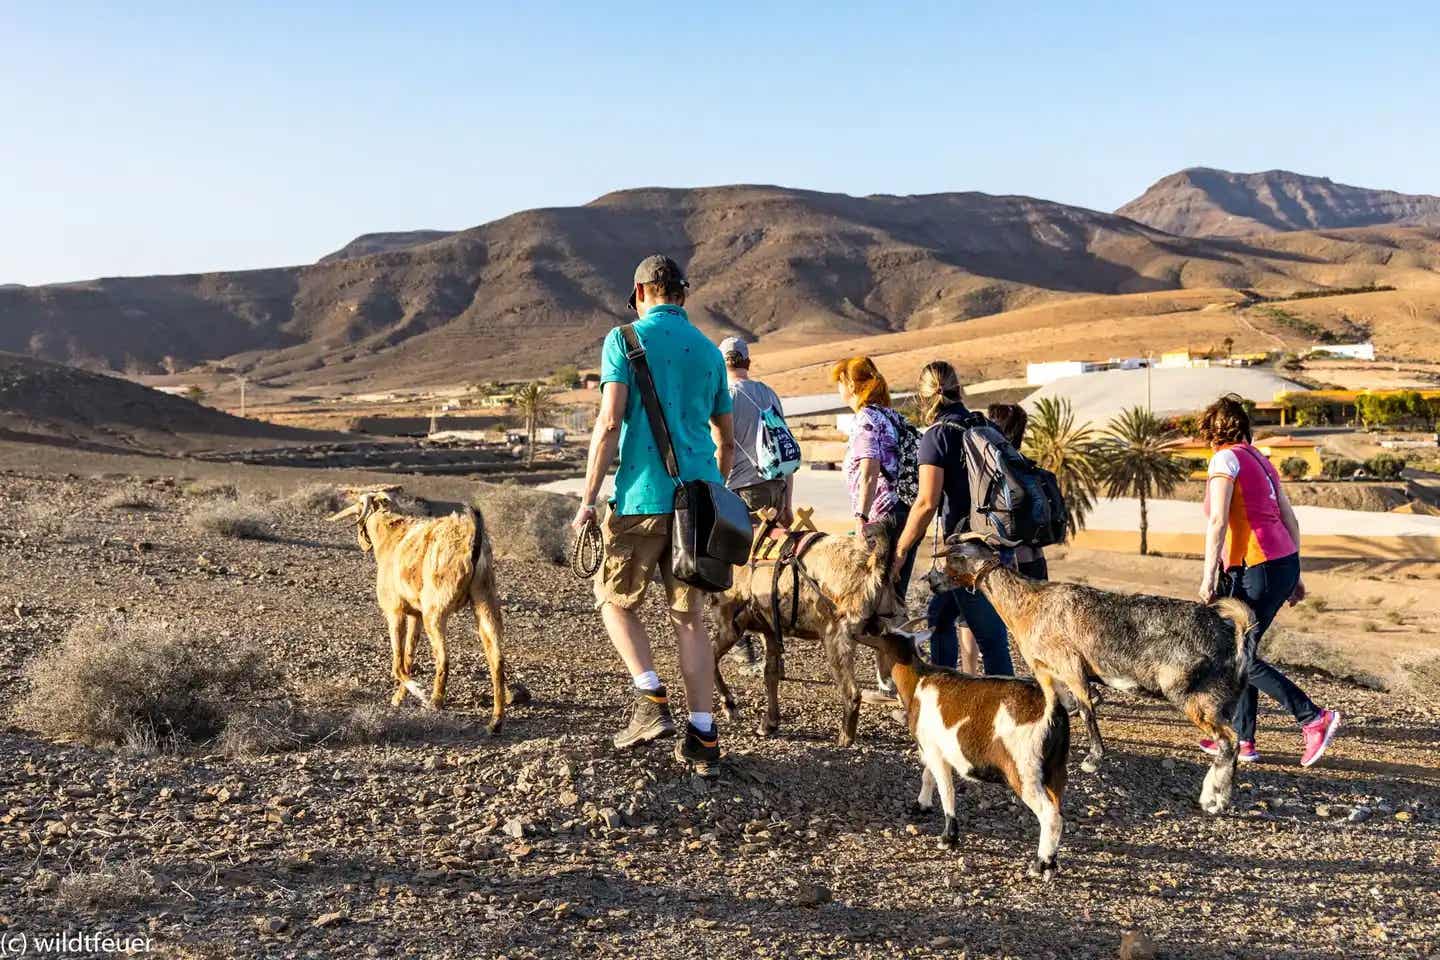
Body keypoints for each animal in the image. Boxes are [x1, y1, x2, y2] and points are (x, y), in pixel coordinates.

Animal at [329, 492, 509, 731]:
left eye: (359, 507)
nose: (362, 543)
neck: (391, 537)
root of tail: (472, 539)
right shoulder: (415, 615)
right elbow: (408, 657)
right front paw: (399, 698)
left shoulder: (395, 612)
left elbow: (398, 663)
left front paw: (417, 692)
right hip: (485, 601)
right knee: (496, 659)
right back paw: (495, 721)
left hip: (435, 611)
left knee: (443, 658)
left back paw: (434, 702)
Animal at [869, 630, 1065, 880]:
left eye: (878, 651)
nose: (882, 683)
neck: (918, 683)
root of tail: (1050, 708)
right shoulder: (935, 747)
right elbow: (928, 775)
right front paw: (921, 804)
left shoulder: (935, 752)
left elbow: (946, 790)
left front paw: (948, 838)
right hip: (1056, 770)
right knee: (1058, 810)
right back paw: (1051, 863)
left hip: (1025, 770)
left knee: (1049, 815)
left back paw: (1039, 865)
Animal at [933, 538, 1249, 817]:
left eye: (951, 559)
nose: (931, 580)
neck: (1029, 602)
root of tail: (1234, 637)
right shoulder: (1046, 671)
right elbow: (1056, 707)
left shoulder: (1070, 666)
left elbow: (1086, 708)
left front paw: (1093, 760)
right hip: (1223, 700)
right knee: (1229, 743)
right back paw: (1214, 796)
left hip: (1195, 695)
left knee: (1229, 741)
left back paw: (1215, 800)